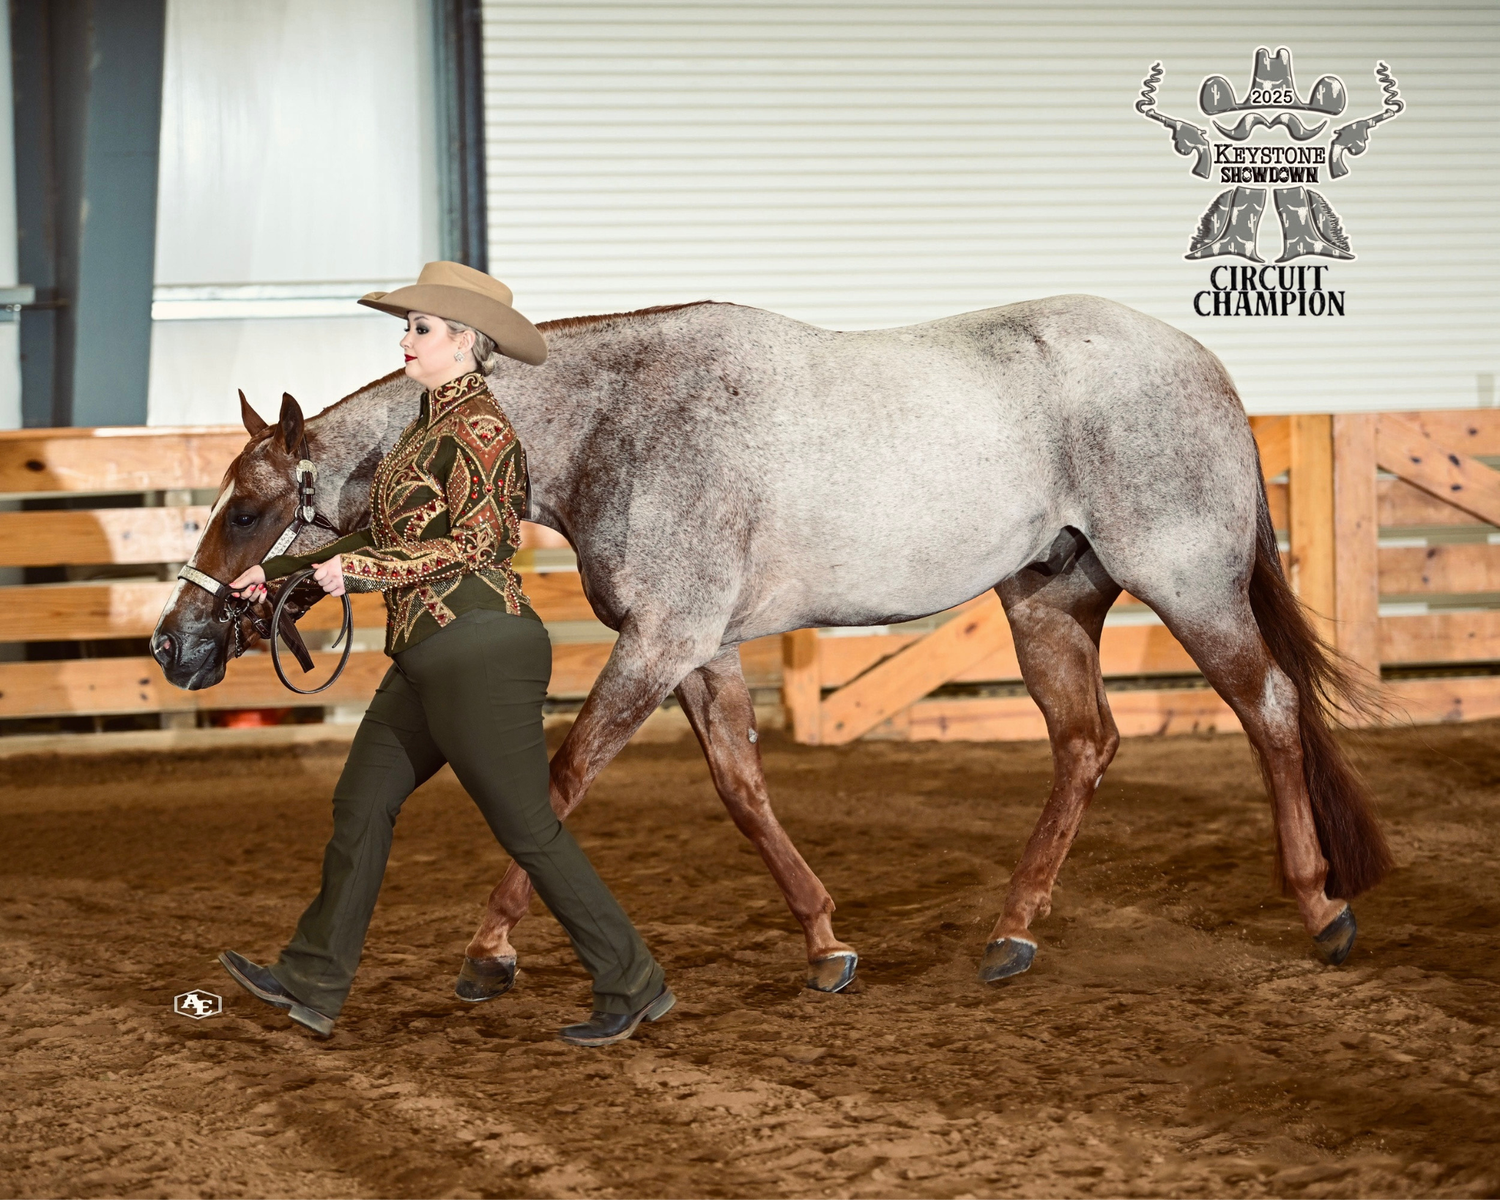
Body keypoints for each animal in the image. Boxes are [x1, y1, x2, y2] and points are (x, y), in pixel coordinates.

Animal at [151, 294, 1392, 995]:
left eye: (250, 508)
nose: (175, 641)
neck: (621, 425)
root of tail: (1206, 368)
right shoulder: (699, 649)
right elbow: (743, 790)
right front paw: (825, 942)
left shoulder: (661, 643)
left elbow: (560, 780)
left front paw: (489, 952)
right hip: (1049, 601)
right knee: (1087, 746)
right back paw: (1010, 936)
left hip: (1188, 585)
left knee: (1271, 709)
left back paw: (1322, 910)